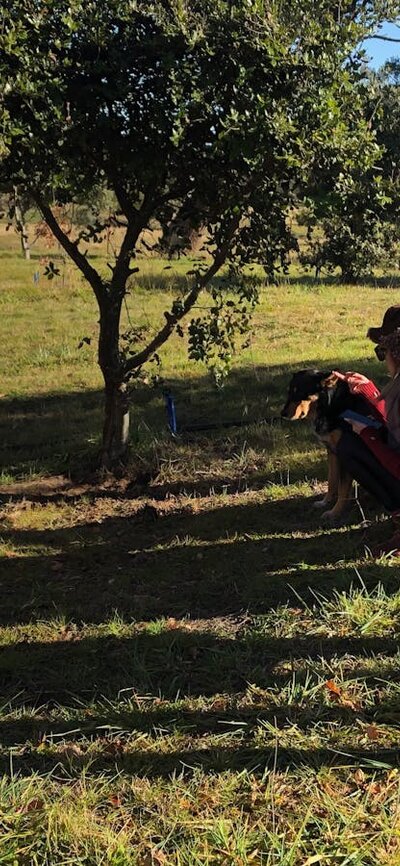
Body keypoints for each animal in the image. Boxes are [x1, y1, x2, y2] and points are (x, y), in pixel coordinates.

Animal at [282, 366, 372, 520]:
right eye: (289, 392)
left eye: (299, 392)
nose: (282, 414)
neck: (329, 406)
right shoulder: (331, 451)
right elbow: (332, 481)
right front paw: (325, 502)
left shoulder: (343, 454)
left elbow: (342, 489)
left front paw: (335, 512)